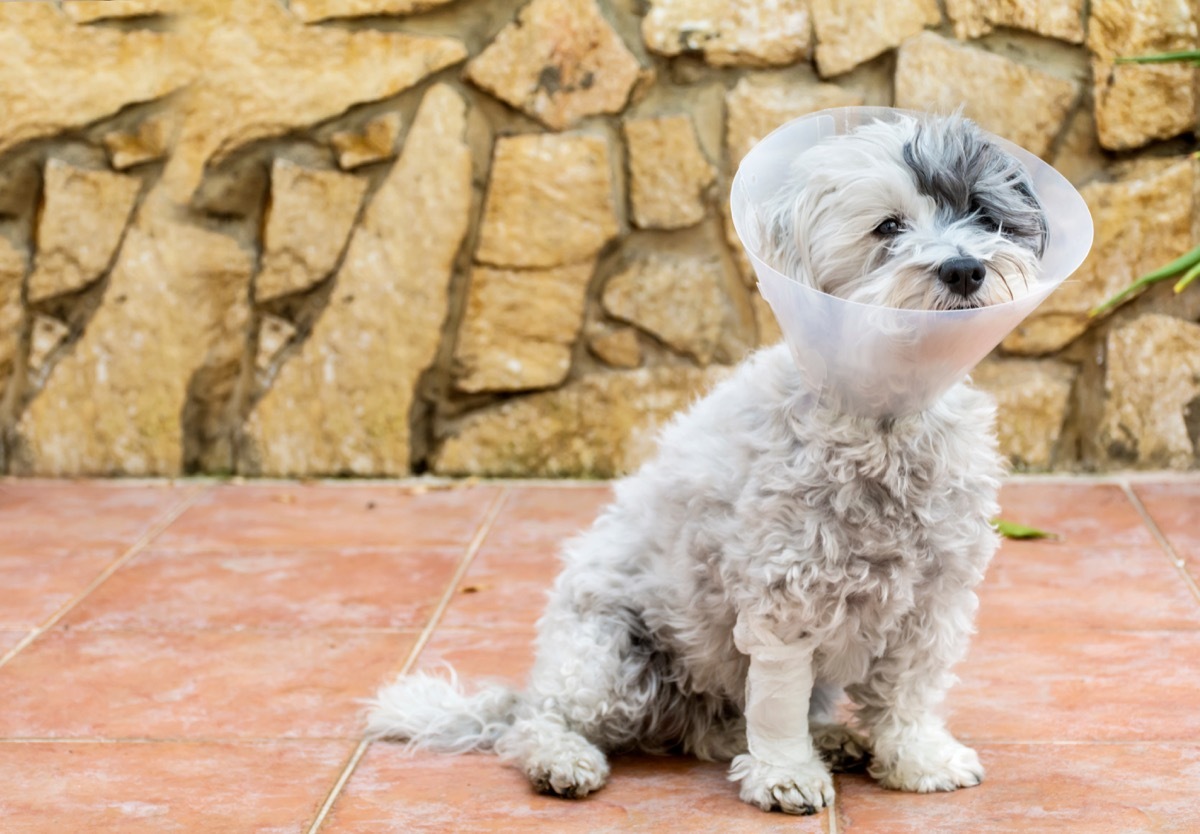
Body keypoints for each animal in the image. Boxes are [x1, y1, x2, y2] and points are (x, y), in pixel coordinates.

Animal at [369, 114, 1046, 820]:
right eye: (888, 226)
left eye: (982, 213)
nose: (966, 269)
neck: (885, 420)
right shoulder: (787, 593)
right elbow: (777, 700)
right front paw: (785, 774)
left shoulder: (935, 598)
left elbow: (910, 690)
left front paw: (918, 758)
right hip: (610, 653)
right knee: (541, 720)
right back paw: (564, 760)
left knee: (721, 731)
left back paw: (828, 738)